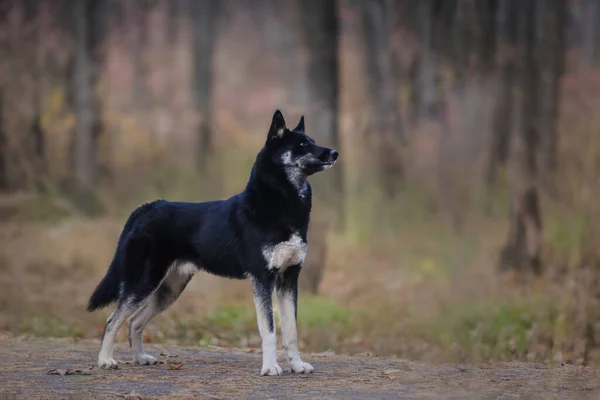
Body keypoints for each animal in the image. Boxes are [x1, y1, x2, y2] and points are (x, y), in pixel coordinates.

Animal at [85, 108, 338, 376]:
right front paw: (270, 367)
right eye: (302, 145)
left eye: (311, 141)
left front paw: (297, 365)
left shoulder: (289, 278)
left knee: (134, 321)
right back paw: (105, 360)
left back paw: (140, 358)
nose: (334, 153)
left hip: (169, 289)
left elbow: (291, 331)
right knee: (113, 320)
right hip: (144, 282)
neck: (281, 203)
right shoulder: (263, 279)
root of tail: (147, 207)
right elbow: (268, 330)